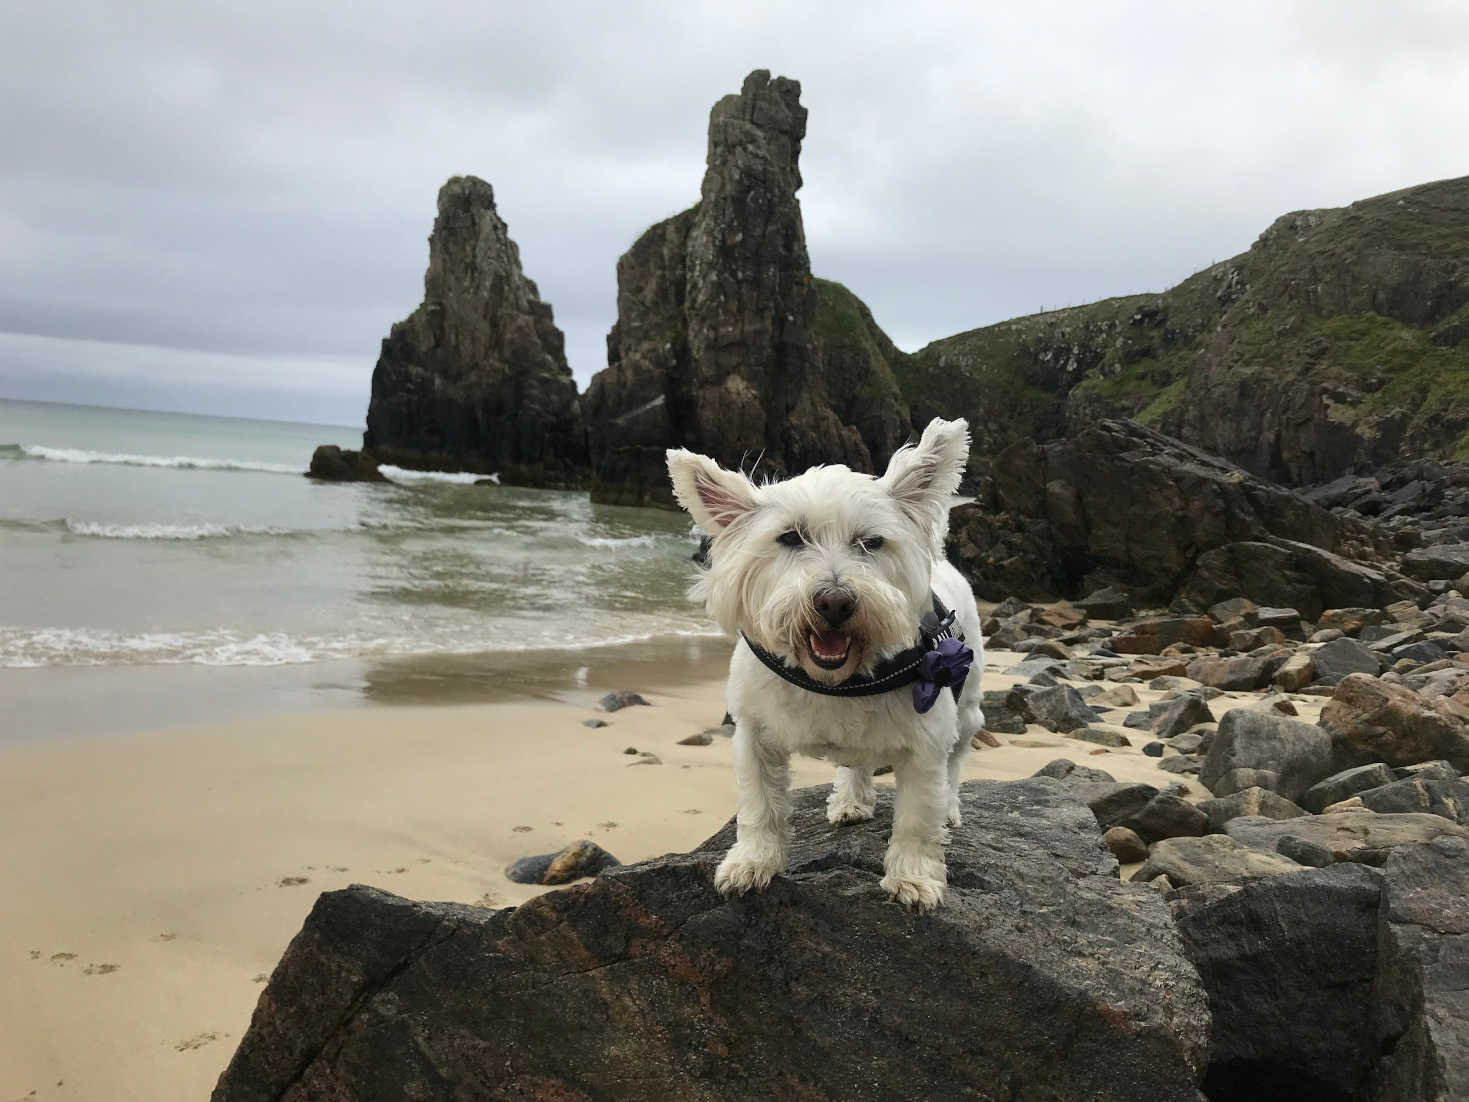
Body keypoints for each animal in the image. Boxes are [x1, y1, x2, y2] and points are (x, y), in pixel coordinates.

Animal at [669, 417, 987, 910]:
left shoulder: (926, 745)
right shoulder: (754, 733)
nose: (835, 602)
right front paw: (751, 864)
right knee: (855, 762)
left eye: (872, 543)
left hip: (966, 704)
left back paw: (950, 807)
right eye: (789, 537)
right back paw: (851, 801)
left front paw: (914, 879)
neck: (837, 680)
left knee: (956, 761)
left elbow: (917, 818)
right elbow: (759, 805)